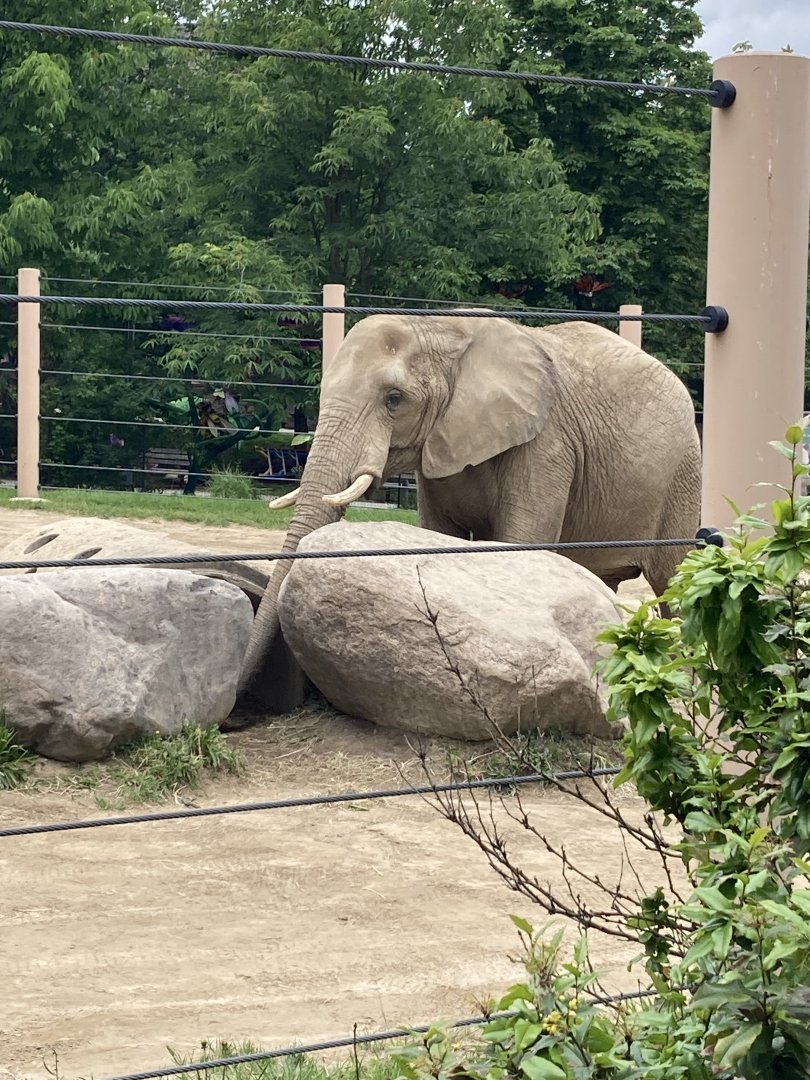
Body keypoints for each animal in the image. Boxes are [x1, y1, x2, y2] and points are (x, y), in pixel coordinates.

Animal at [238, 314, 702, 711]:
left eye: (394, 399)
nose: (240, 703)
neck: (442, 328)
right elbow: (441, 533)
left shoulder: (547, 443)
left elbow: (522, 541)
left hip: (682, 474)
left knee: (673, 580)